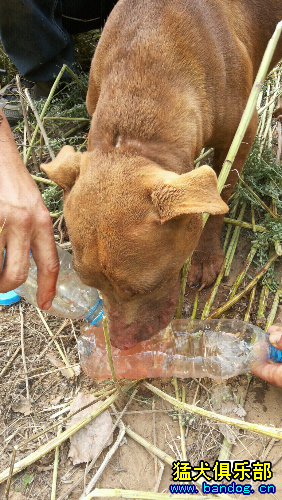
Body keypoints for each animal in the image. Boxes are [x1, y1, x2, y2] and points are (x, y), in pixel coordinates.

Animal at [41, 0, 282, 348]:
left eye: (147, 286)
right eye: (88, 283)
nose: (120, 343)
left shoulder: (242, 134)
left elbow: (220, 197)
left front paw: (205, 255)